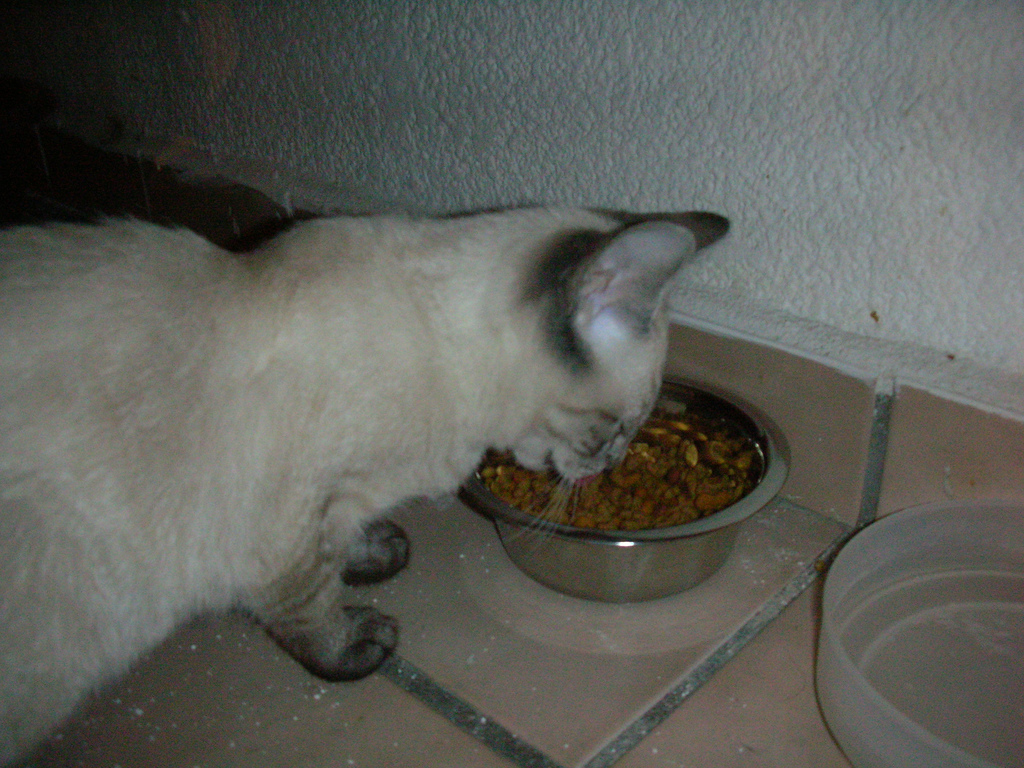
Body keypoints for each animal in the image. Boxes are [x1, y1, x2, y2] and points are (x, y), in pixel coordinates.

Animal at [4, 205, 733, 765]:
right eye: (617, 429)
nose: (609, 466)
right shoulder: (284, 532)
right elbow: (310, 604)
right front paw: (354, 646)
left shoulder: (332, 505)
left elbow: (345, 546)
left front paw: (375, 554)